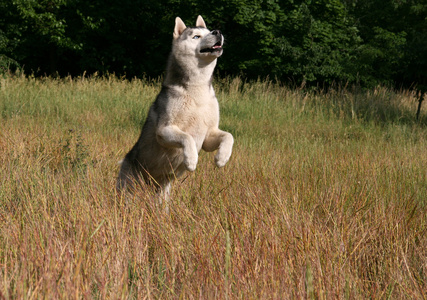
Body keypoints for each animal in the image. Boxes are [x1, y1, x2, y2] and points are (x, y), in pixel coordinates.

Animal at [117, 14, 234, 206]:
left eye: (208, 31)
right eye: (196, 36)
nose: (217, 31)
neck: (196, 92)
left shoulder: (209, 136)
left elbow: (229, 136)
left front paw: (222, 158)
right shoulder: (165, 131)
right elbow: (187, 138)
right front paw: (191, 160)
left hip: (162, 191)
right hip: (129, 188)